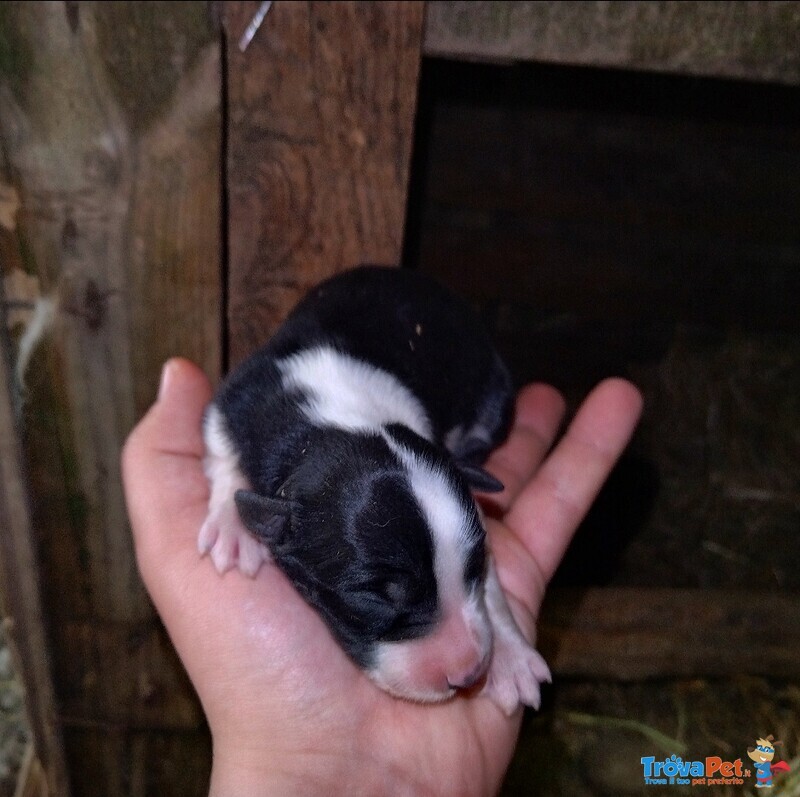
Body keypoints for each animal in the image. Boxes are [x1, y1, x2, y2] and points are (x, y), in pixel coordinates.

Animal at [198, 264, 552, 712]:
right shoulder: (237, 401)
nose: (469, 675)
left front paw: (511, 657)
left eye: (474, 565)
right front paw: (233, 527)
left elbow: (490, 587)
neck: (341, 422)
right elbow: (222, 451)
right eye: (377, 596)